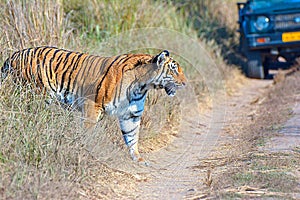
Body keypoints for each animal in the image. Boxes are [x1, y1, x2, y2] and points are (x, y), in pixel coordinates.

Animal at [1, 47, 186, 164]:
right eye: (174, 69)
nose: (185, 83)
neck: (142, 86)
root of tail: (14, 54)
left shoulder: (131, 115)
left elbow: (132, 136)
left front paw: (138, 159)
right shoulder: (92, 105)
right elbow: (88, 132)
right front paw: (87, 151)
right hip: (35, 93)